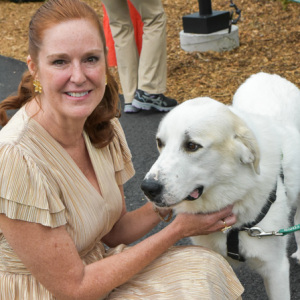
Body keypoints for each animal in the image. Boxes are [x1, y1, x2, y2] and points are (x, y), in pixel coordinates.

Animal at [142, 71, 300, 298]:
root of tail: (265, 74)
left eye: (192, 146)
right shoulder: (217, 261)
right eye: (160, 143)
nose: (148, 189)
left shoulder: (275, 269)